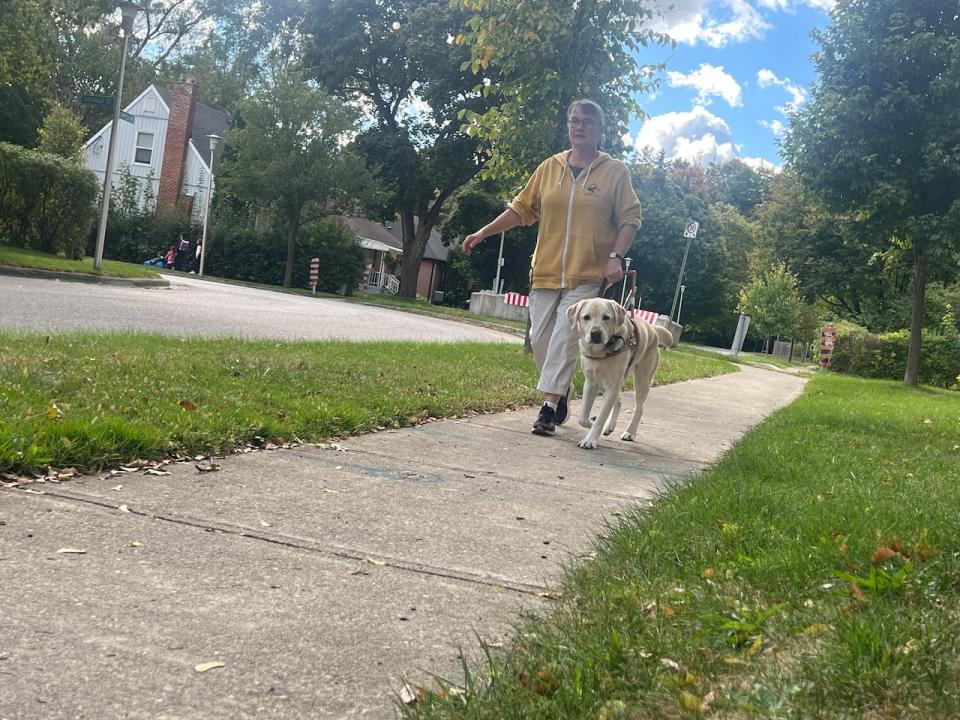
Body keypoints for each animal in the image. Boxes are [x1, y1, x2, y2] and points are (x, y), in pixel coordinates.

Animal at [564, 296, 676, 448]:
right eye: (586, 317)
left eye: (606, 317)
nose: (595, 333)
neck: (601, 353)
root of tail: (652, 328)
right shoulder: (591, 382)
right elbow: (582, 418)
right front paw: (591, 423)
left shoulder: (612, 385)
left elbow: (600, 418)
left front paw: (590, 440)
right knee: (619, 401)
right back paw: (609, 426)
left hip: (641, 380)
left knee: (639, 409)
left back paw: (630, 432)